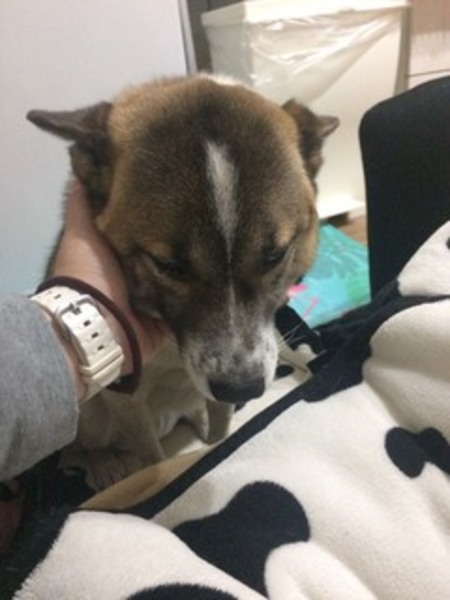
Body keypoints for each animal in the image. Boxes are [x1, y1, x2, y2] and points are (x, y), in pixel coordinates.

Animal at [28, 74, 338, 489]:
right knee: (78, 447)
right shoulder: (127, 400)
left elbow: (221, 431)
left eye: (275, 255)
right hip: (91, 416)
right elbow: (151, 458)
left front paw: (217, 449)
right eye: (169, 265)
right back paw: (103, 463)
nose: (243, 388)